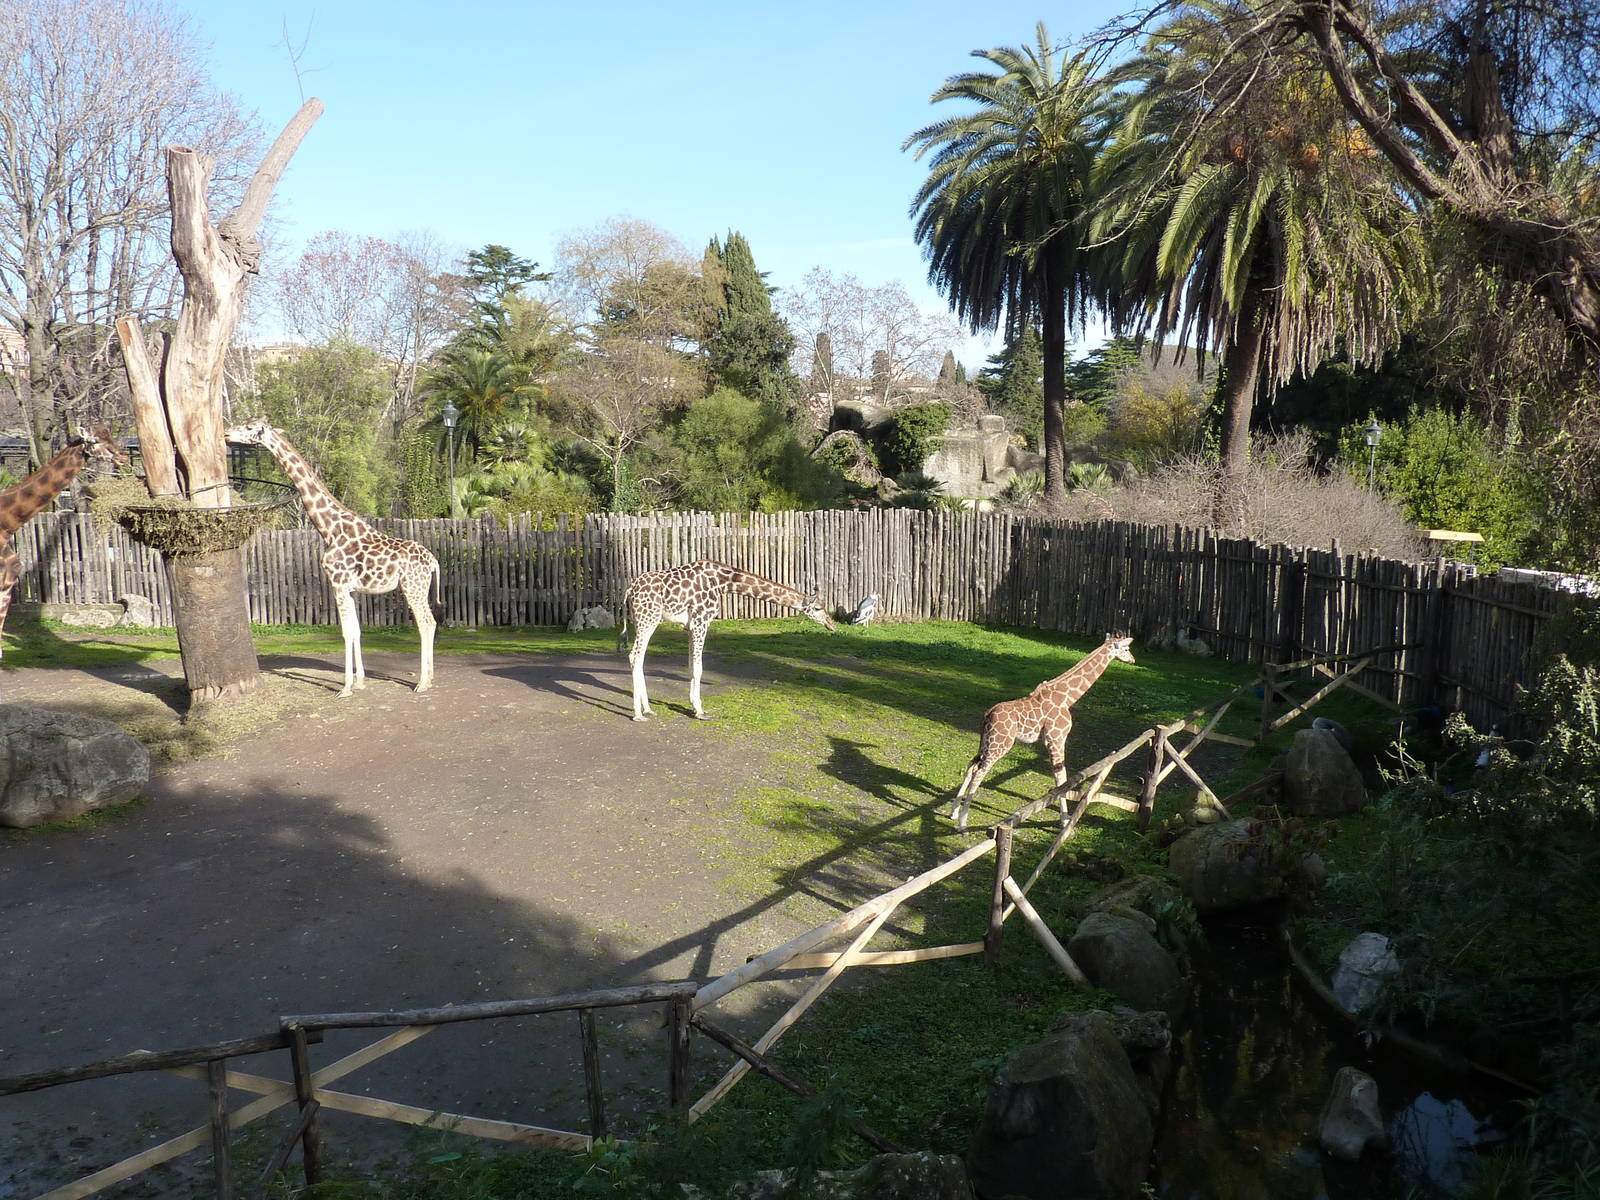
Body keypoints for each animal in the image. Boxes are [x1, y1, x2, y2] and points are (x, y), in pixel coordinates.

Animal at [224, 418, 439, 697]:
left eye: (250, 427)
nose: (226, 435)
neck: (329, 529)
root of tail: (433, 562)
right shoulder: (351, 588)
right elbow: (356, 631)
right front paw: (360, 681)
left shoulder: (337, 583)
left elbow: (346, 632)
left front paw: (345, 687)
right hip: (419, 587)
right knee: (432, 622)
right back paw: (430, 678)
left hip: (412, 586)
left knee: (425, 623)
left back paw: (422, 683)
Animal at [617, 559, 836, 721]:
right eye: (818, 608)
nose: (831, 624)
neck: (724, 582)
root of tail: (629, 590)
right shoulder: (701, 621)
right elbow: (699, 668)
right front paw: (700, 711)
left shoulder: (690, 627)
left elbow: (691, 666)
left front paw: (694, 705)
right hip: (648, 619)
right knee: (635, 656)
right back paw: (638, 714)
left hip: (643, 621)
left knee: (637, 658)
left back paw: (648, 709)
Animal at [949, 634, 1137, 831]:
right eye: (1126, 648)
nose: (1133, 659)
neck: (1067, 698)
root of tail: (988, 714)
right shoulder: (1057, 738)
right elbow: (1061, 778)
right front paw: (1065, 821)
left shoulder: (1050, 740)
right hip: (1001, 744)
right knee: (979, 771)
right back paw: (962, 823)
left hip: (985, 741)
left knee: (971, 765)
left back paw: (953, 812)